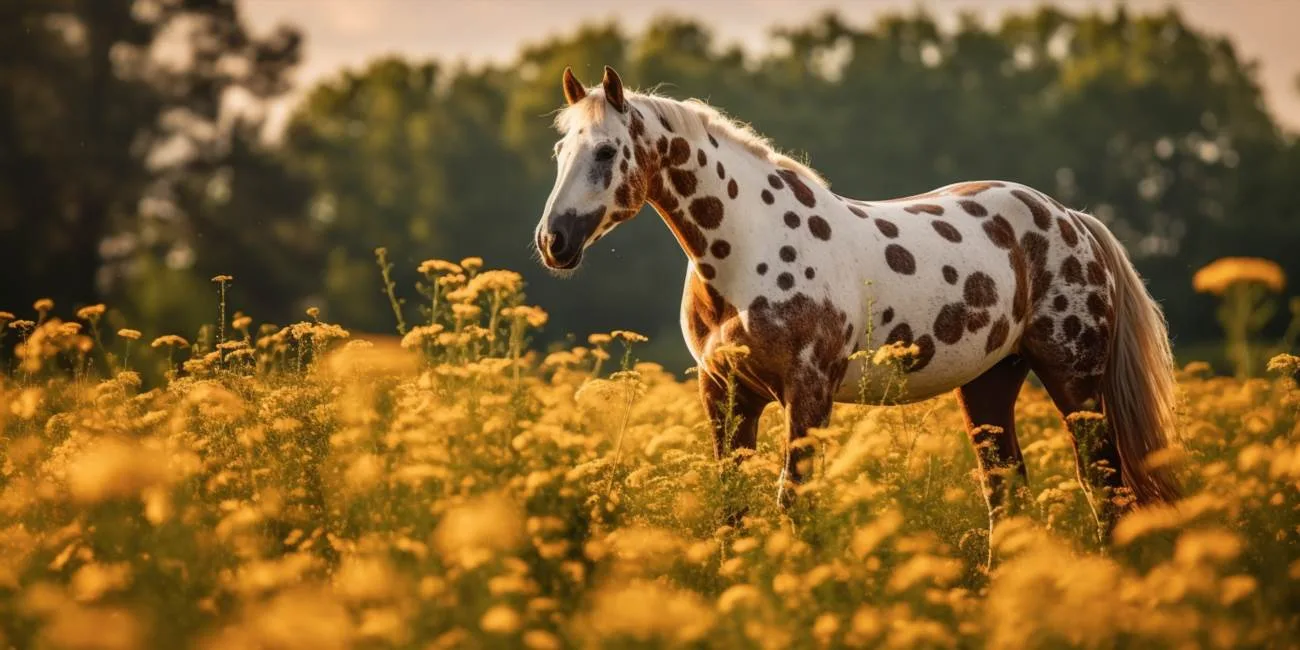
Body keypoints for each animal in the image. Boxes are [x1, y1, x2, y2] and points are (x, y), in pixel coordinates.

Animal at [533, 65, 1185, 540]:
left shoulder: (808, 391)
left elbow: (794, 502)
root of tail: (1071, 218)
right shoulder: (725, 394)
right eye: (561, 150)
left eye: (606, 152)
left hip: (1075, 381)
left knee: (1104, 486)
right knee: (1003, 488)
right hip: (989, 384)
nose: (553, 241)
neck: (748, 251)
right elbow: (731, 506)